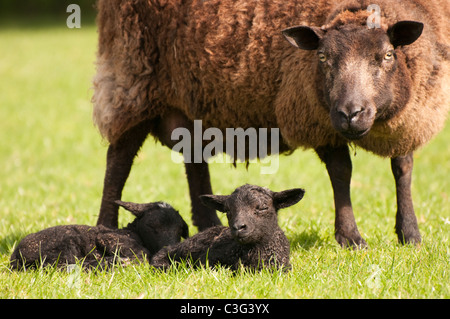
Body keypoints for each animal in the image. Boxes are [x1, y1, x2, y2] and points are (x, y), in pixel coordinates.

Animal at [9, 201, 188, 272]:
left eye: (180, 230)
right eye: (152, 226)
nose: (169, 247)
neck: (133, 232)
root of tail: (16, 257)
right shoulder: (109, 238)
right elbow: (142, 255)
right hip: (65, 245)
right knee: (67, 265)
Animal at [92, 0, 450, 249]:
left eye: (388, 55)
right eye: (322, 57)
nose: (351, 113)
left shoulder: (409, 117)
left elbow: (403, 168)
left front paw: (410, 234)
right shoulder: (315, 115)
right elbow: (341, 172)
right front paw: (350, 238)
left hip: (191, 99)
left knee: (194, 160)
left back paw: (208, 224)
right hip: (132, 81)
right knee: (118, 160)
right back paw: (105, 227)